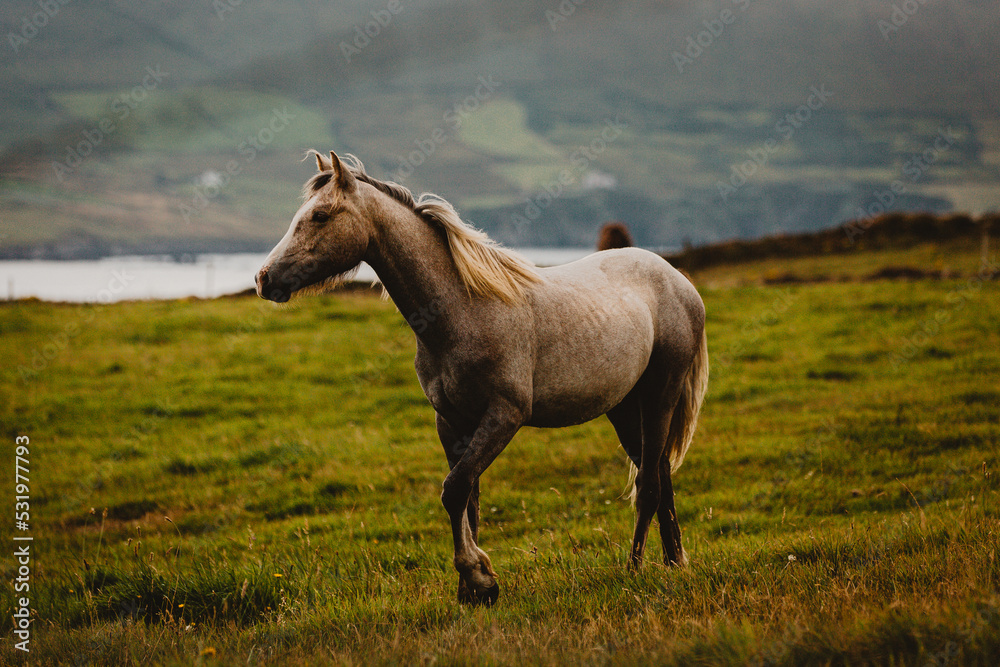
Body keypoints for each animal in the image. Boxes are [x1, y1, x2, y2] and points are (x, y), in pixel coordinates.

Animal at [256, 151, 709, 606]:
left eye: (320, 215)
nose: (263, 278)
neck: (463, 310)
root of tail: (678, 280)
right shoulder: (451, 421)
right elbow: (467, 498)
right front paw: (471, 590)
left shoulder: (504, 416)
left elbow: (454, 489)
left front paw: (479, 577)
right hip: (624, 409)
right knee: (661, 475)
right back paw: (674, 563)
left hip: (660, 395)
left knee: (648, 485)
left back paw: (634, 570)